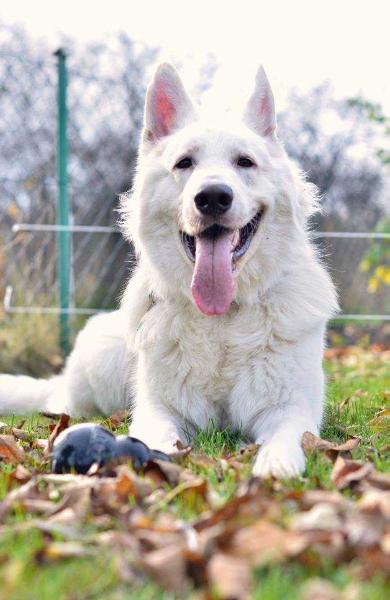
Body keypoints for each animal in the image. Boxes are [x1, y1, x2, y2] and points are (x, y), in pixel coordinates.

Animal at [0, 63, 336, 478]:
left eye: (244, 162)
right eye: (184, 163)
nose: (212, 197)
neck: (222, 319)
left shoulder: (290, 409)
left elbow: (285, 440)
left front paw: (274, 467)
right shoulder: (159, 410)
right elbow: (155, 436)